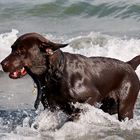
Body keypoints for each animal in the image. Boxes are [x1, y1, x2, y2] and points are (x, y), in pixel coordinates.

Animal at [1, 33, 140, 121]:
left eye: (20, 51)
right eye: (12, 49)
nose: (2, 64)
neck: (55, 74)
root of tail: (129, 64)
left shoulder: (91, 96)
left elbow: (76, 114)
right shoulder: (51, 107)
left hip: (125, 106)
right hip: (109, 106)